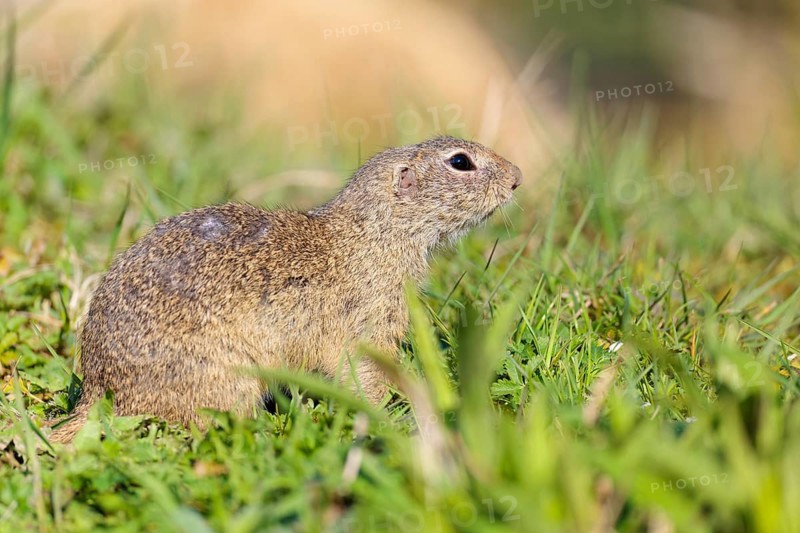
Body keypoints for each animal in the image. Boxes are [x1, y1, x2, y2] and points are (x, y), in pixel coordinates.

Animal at [49, 136, 522, 443]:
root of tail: (99, 392)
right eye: (460, 162)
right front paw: (390, 419)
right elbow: (364, 372)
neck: (373, 235)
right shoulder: (369, 320)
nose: (517, 176)